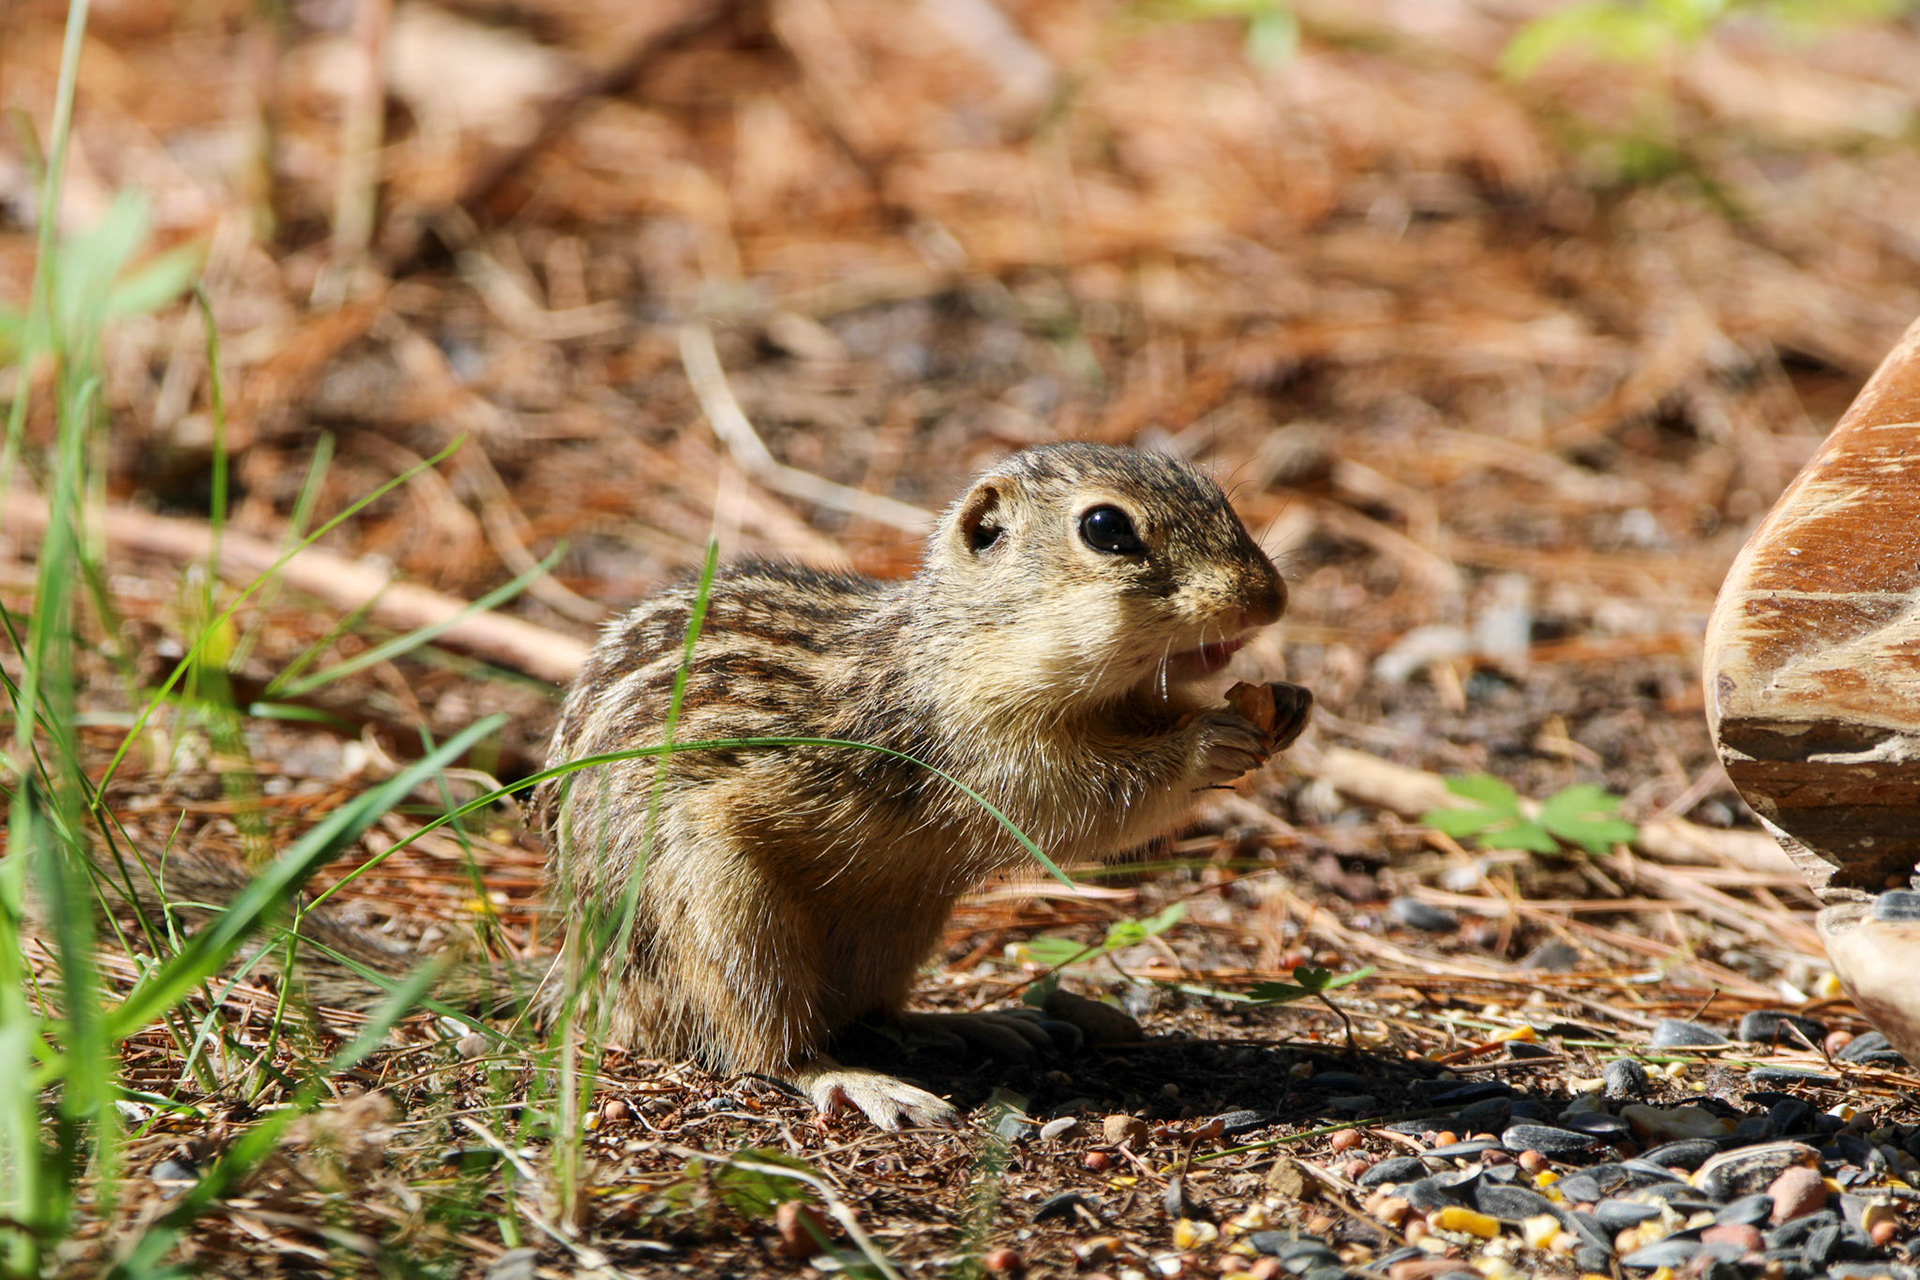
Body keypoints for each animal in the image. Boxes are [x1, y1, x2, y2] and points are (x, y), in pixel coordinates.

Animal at [534, 442, 1311, 1128]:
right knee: (763, 1046)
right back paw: (863, 1084)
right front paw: (1210, 743)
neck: (965, 647)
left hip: (897, 927)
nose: (1270, 599)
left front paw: (1289, 707)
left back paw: (981, 1024)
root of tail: (589, 988)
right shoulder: (992, 757)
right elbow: (1088, 803)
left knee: (878, 1014)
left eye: (1213, 489)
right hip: (725, 920)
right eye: (1105, 528)